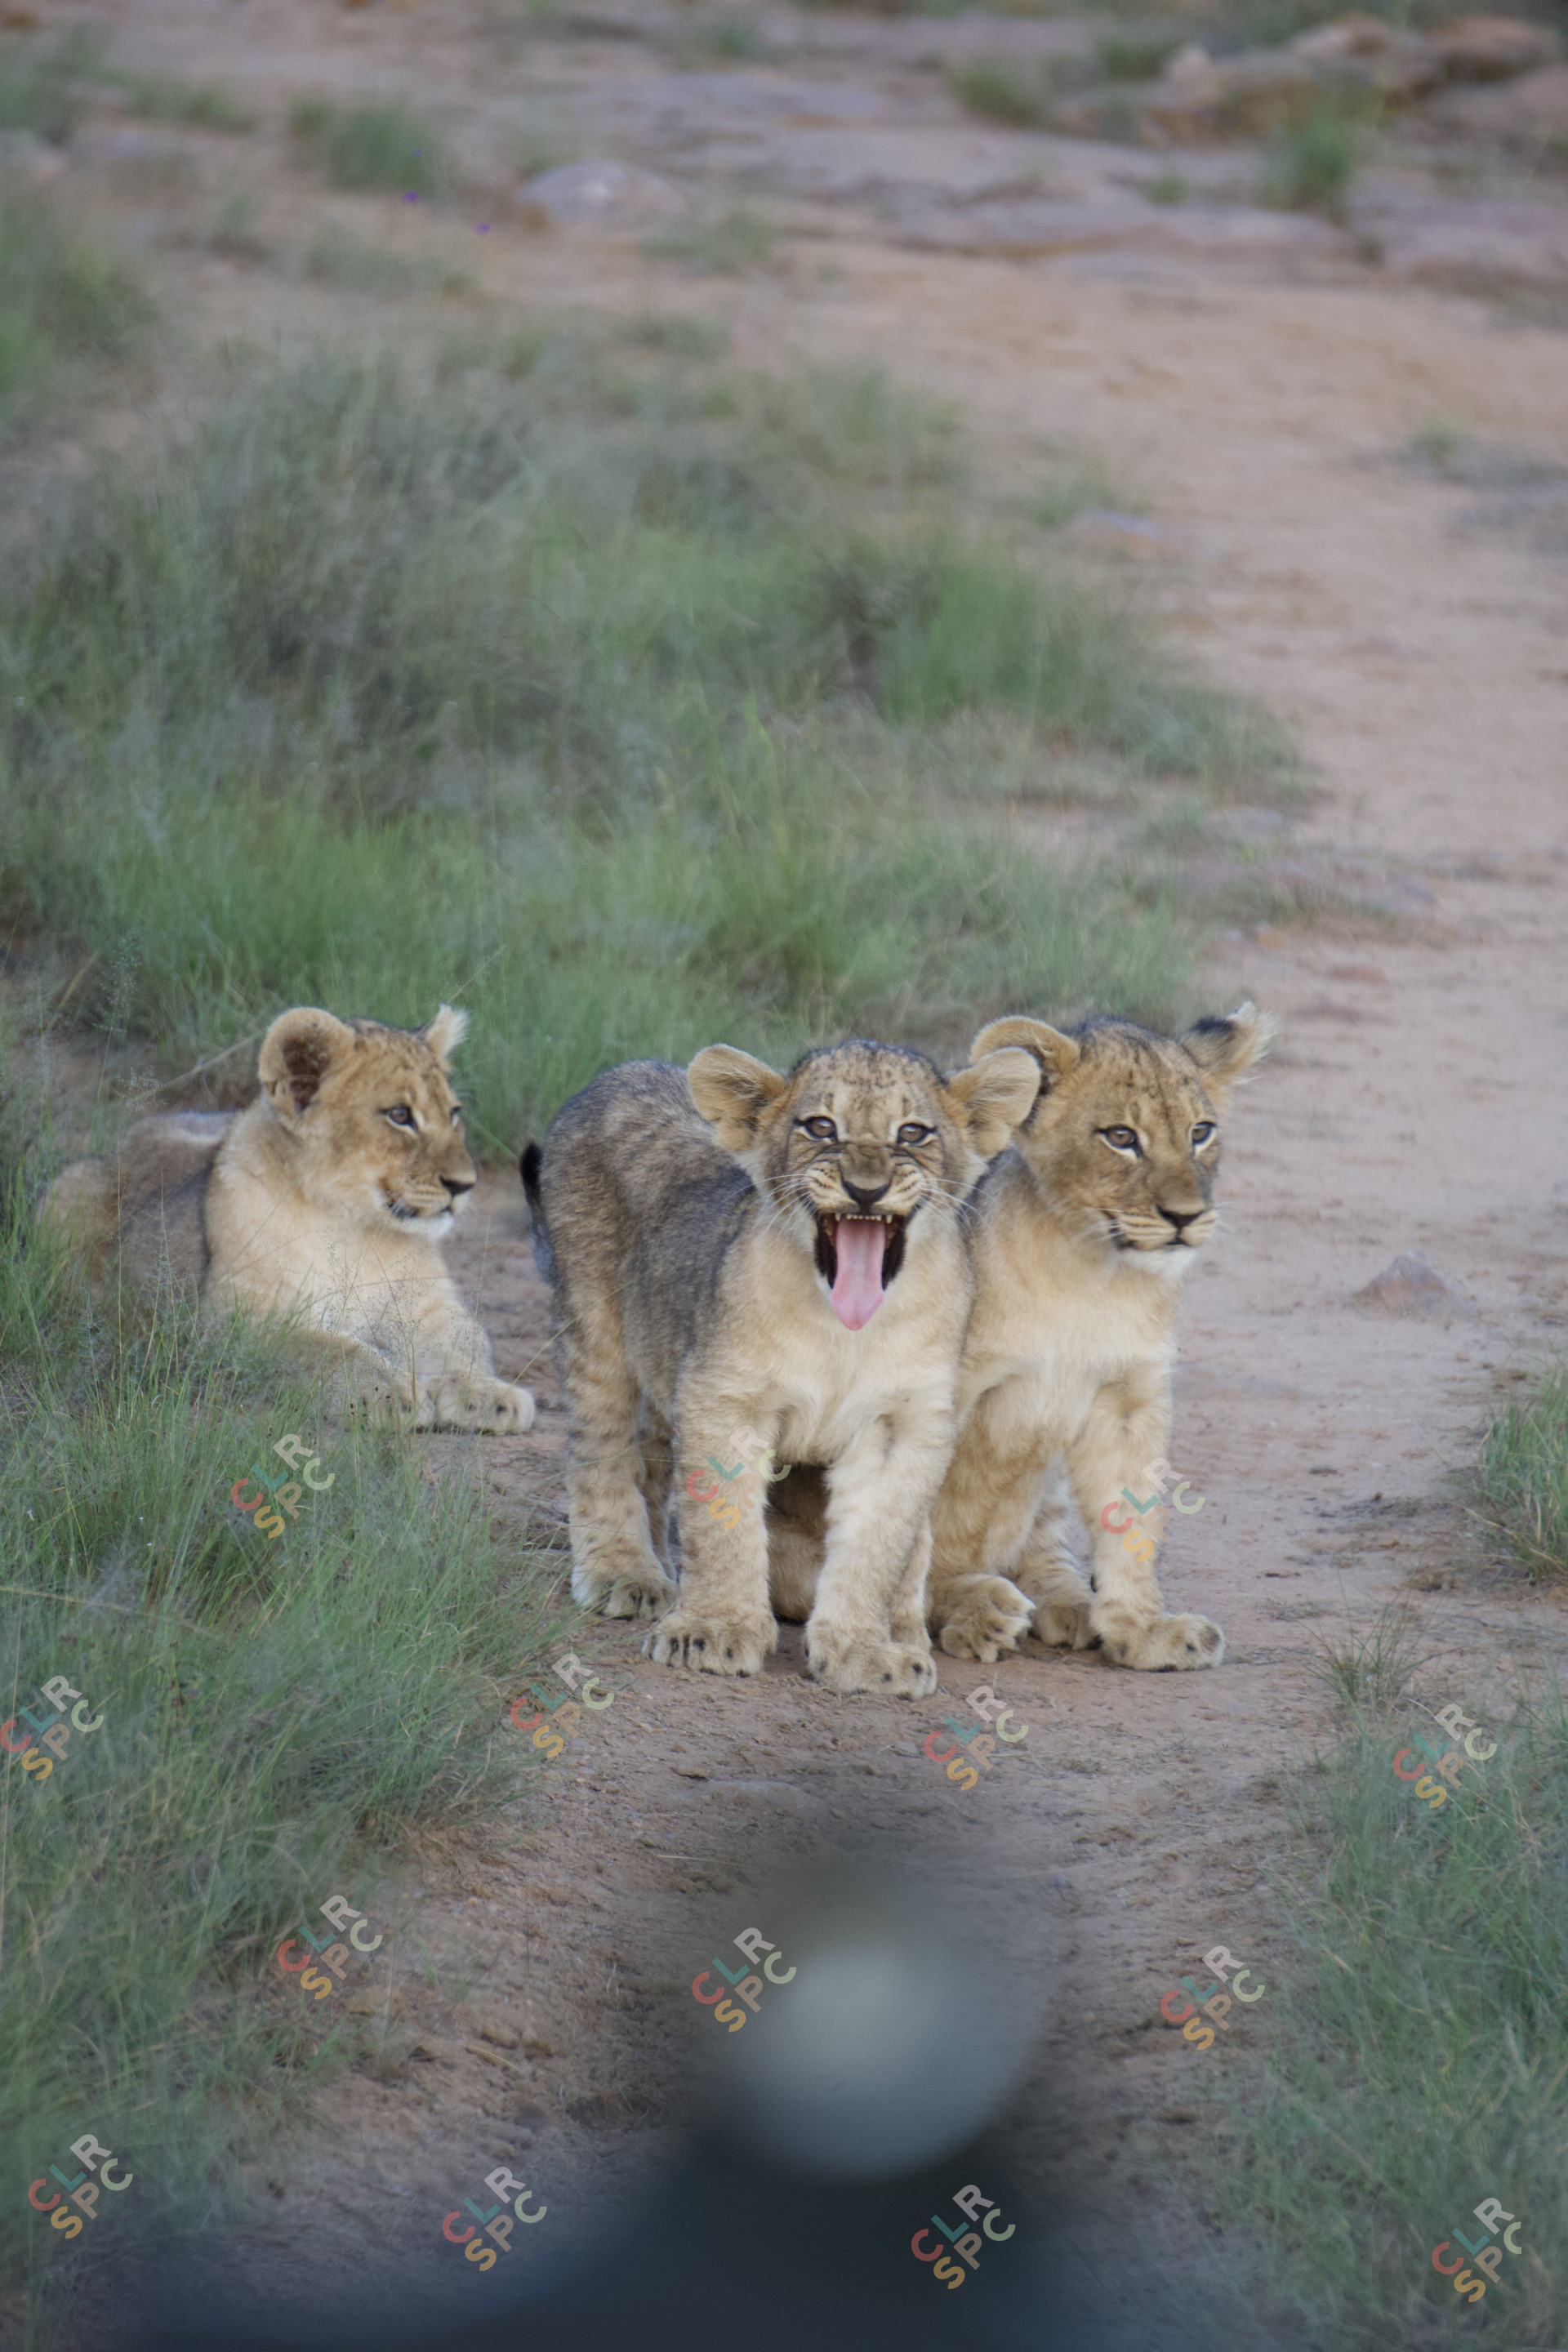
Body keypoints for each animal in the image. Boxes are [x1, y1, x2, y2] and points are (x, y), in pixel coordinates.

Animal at [41, 1005, 535, 1434]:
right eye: (399, 1115)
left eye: (453, 1113)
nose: (465, 1185)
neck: (354, 1230)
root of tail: (133, 1135)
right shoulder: (232, 1321)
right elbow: (327, 1349)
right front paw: (392, 1394)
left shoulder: (432, 1310)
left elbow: (467, 1343)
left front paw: (490, 1395)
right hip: (67, 1189)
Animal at [521, 1038, 1039, 1696]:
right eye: (821, 1126)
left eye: (912, 1132)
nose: (865, 1189)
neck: (845, 1333)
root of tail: (618, 1073)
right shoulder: (725, 1396)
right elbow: (723, 1525)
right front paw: (712, 1631)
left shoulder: (902, 1424)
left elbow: (877, 1545)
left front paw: (863, 1652)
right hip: (596, 1331)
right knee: (602, 1451)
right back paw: (625, 1574)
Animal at [765, 1003, 1276, 1673]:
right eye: (1120, 1137)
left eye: (1201, 1132)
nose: (1186, 1218)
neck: (1091, 1275)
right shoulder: (938, 1393)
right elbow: (908, 1530)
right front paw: (907, 1632)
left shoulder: (1130, 1398)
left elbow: (1135, 1518)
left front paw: (1143, 1631)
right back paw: (982, 1609)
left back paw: (1068, 1604)